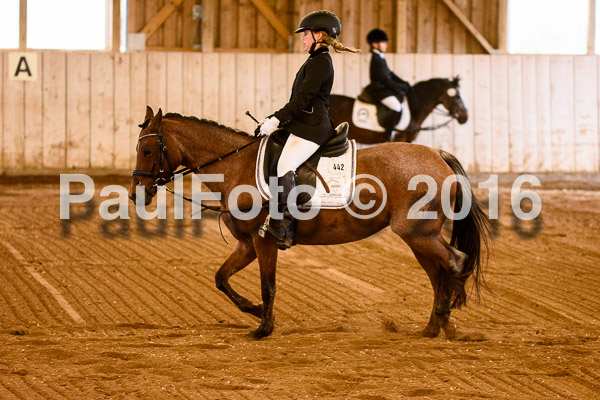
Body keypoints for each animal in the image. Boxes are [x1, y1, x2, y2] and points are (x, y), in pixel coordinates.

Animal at [129, 106, 491, 339]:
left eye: (147, 150)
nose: (136, 194)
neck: (237, 165)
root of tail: (436, 154)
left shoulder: (263, 241)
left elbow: (268, 284)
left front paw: (264, 328)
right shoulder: (247, 243)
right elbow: (221, 278)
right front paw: (254, 311)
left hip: (418, 234)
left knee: (455, 263)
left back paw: (448, 324)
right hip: (419, 238)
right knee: (438, 275)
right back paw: (433, 327)